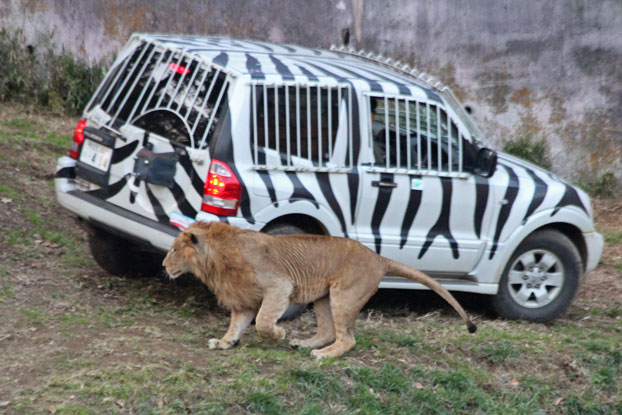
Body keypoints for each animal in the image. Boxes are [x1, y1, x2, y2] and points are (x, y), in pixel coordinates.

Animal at [162, 223, 478, 360]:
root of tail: (379, 258)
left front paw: (279, 333)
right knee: (328, 330)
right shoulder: (243, 299)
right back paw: (305, 345)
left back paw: (323, 355)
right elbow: (236, 325)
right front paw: (225, 342)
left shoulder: (279, 286)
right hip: (325, 298)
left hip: (344, 295)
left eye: (175, 250)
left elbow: (263, 322)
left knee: (348, 338)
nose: (164, 264)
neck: (214, 260)